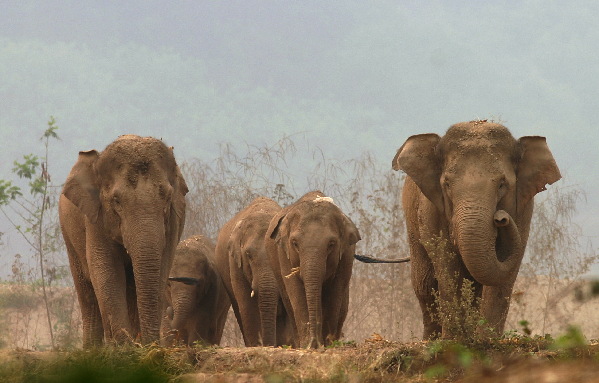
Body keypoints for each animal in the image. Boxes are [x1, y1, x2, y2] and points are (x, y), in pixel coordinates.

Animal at [60, 135, 188, 348]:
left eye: (167, 197)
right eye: (116, 200)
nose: (153, 344)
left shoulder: (174, 220)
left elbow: (162, 268)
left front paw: (136, 346)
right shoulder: (95, 219)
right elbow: (106, 270)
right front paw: (123, 347)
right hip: (69, 238)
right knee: (87, 293)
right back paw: (93, 349)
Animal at [394, 120, 564, 340]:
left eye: (502, 184)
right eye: (447, 184)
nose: (501, 217)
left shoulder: (523, 210)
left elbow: (502, 275)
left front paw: (487, 340)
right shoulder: (432, 211)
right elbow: (447, 266)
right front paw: (454, 340)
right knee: (424, 284)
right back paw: (430, 339)